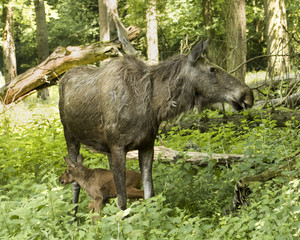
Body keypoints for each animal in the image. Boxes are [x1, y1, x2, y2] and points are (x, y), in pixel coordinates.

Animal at [58, 39, 253, 212]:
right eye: (213, 69)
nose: (247, 94)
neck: (153, 105)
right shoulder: (118, 147)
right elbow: (122, 201)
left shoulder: (146, 145)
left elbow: (149, 195)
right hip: (70, 136)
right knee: (75, 181)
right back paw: (74, 219)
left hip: (106, 150)